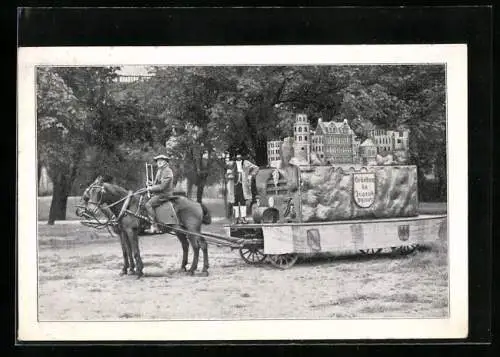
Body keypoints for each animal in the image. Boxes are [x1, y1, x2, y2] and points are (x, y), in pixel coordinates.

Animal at [77, 175, 211, 278]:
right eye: (89, 193)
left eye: (99, 192)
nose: (88, 210)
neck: (126, 206)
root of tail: (197, 203)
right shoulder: (124, 233)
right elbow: (127, 251)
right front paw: (128, 269)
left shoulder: (131, 232)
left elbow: (135, 251)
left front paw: (138, 271)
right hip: (180, 230)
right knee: (191, 245)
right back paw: (193, 268)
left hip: (192, 230)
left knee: (197, 246)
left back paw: (194, 269)